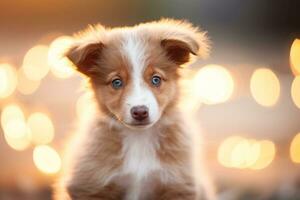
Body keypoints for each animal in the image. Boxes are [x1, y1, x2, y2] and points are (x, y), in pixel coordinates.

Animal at [55, 19, 212, 200]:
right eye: (116, 82)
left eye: (156, 79)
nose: (140, 112)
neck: (139, 139)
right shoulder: (90, 187)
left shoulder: (179, 186)